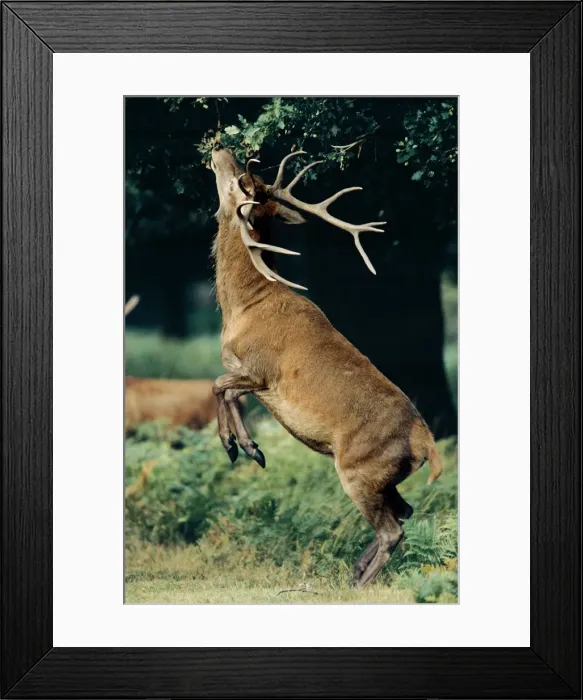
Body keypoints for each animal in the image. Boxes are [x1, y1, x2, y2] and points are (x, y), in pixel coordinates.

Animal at [209, 143, 443, 587]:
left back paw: (361, 583)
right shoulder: (250, 377)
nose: (219, 147)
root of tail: (426, 442)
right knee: (404, 512)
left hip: (358, 469)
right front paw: (248, 448)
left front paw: (236, 446)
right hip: (381, 478)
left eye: (239, 182)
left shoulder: (262, 372)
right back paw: (355, 570)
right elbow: (224, 390)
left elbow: (216, 385)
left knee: (392, 529)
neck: (242, 308)